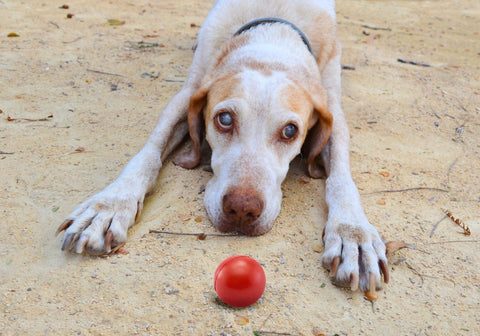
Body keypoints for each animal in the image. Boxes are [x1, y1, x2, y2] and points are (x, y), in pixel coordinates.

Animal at [58, 0, 390, 292]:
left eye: (290, 131)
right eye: (225, 119)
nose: (242, 210)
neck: (273, 35)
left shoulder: (333, 108)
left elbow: (341, 180)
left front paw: (353, 234)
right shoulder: (188, 92)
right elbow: (147, 156)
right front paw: (109, 206)